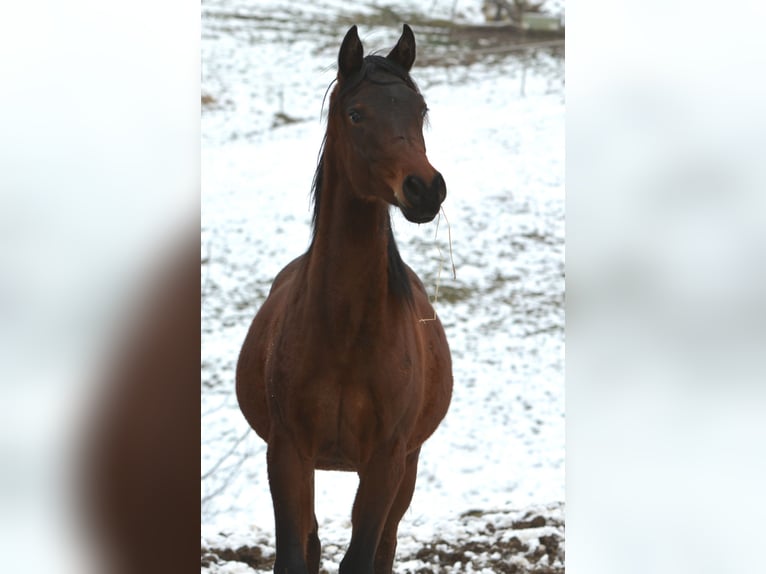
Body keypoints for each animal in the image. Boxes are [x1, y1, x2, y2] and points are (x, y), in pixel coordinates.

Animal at [234, 23, 450, 574]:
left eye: (420, 109)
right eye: (356, 114)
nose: (426, 189)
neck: (346, 333)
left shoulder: (387, 461)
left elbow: (363, 554)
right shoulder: (288, 453)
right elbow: (293, 554)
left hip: (407, 467)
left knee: (386, 547)